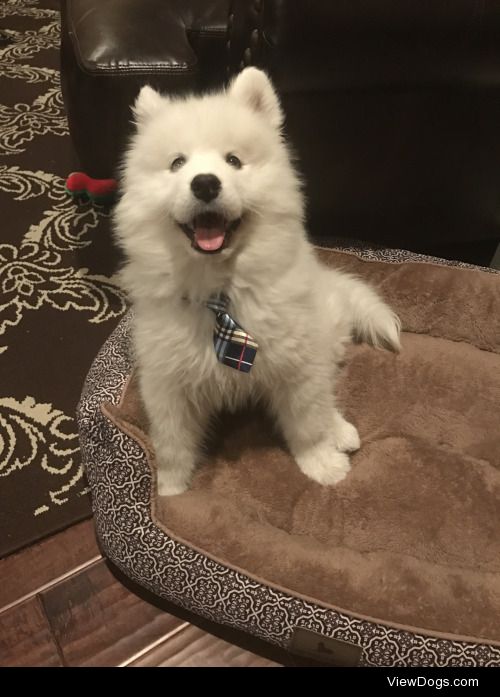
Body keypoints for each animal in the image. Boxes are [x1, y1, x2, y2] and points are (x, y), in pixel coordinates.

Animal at [114, 66, 402, 494]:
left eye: (234, 160)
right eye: (177, 163)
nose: (205, 183)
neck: (221, 292)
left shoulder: (296, 361)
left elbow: (308, 420)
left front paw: (322, 465)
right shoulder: (167, 381)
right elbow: (173, 441)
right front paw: (169, 489)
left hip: (320, 336)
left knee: (325, 389)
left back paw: (340, 430)